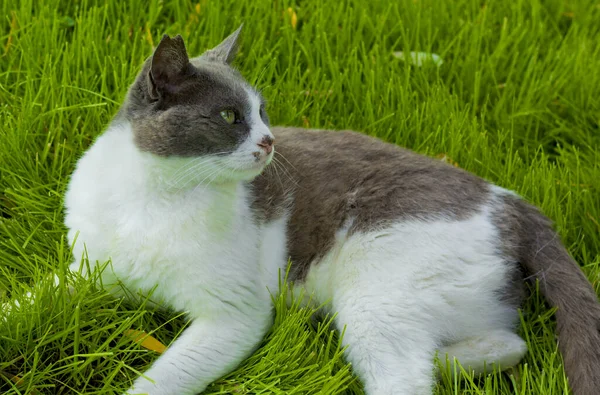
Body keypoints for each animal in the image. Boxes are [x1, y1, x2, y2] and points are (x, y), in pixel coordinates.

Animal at [61, 25, 600, 395]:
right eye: (230, 116)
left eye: (261, 113)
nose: (269, 141)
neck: (152, 196)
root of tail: (512, 201)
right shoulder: (86, 268)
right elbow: (43, 297)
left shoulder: (235, 315)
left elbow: (165, 378)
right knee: (509, 344)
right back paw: (440, 363)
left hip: (376, 294)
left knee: (407, 378)